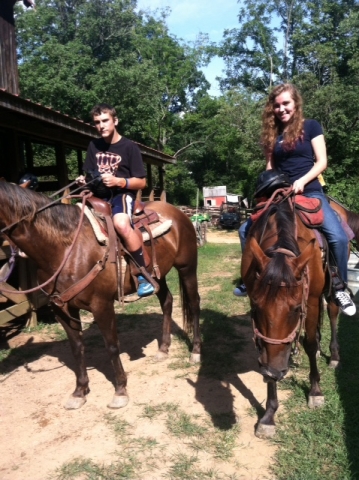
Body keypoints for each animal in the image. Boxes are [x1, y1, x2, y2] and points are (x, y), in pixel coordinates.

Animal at [0, 183, 201, 408]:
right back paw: (163, 349)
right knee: (167, 301)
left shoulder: (101, 305)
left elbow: (111, 346)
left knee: (194, 304)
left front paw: (120, 391)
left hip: (187, 268)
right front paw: (79, 392)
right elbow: (77, 347)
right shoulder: (62, 309)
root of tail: (178, 213)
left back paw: (196, 352)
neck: (66, 248)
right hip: (158, 275)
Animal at [240, 190, 342, 438]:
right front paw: (269, 415)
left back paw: (333, 355)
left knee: (332, 312)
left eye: (296, 309)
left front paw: (315, 391)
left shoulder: (311, 300)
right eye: (256, 308)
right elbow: (267, 350)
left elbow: (310, 343)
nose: (273, 372)